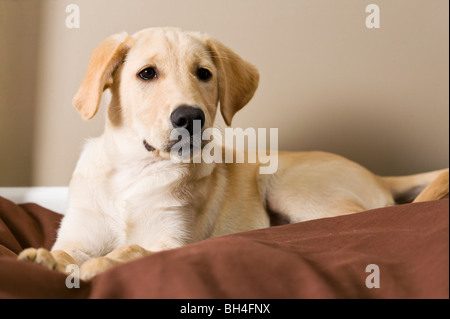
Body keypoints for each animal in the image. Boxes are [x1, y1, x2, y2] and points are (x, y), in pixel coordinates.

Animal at [18, 28, 450, 282]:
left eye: (204, 74)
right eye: (147, 74)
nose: (189, 118)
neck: (136, 170)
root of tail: (378, 176)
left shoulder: (172, 240)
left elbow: (134, 248)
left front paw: (106, 262)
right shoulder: (78, 235)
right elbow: (66, 251)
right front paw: (43, 259)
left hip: (287, 186)